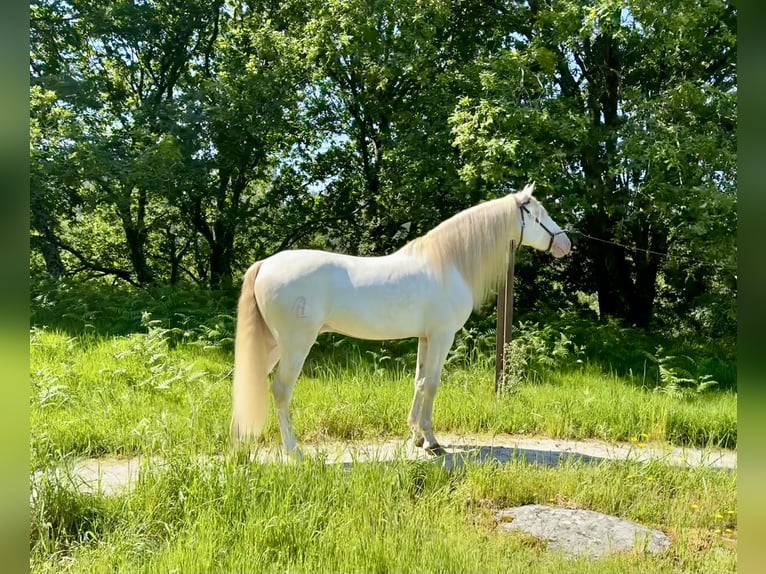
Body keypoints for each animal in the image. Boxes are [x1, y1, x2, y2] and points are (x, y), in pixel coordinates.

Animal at [232, 182, 568, 456]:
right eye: (539, 216)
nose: (566, 244)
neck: (449, 264)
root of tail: (264, 264)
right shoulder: (443, 336)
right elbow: (432, 383)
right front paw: (432, 442)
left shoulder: (425, 337)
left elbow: (418, 381)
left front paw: (416, 437)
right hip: (295, 345)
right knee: (280, 391)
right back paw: (294, 451)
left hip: (272, 344)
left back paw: (242, 446)